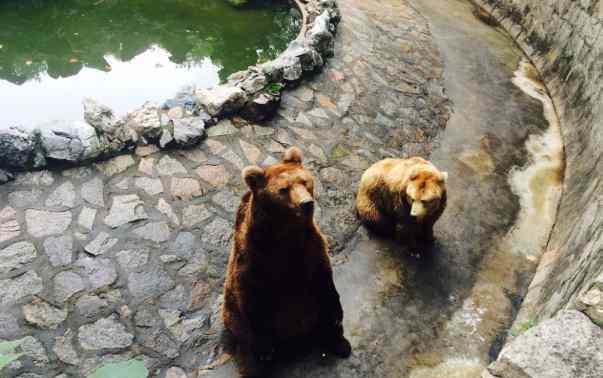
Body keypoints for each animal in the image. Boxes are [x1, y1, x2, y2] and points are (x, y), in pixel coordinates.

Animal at [224, 146, 352, 376]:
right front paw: (265, 352)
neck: (285, 232)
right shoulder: (254, 256)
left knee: (324, 317)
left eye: (304, 181)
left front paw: (337, 321)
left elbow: (324, 281)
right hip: (234, 318)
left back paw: (339, 343)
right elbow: (252, 295)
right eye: (284, 189)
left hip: (310, 308)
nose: (307, 204)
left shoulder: (311, 246)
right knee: (247, 341)